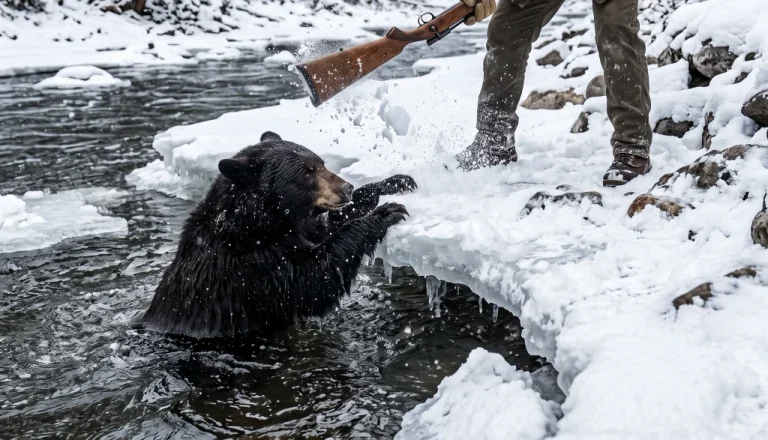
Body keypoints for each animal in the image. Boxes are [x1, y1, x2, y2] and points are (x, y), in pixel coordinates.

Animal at [141, 131, 416, 338]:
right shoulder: (254, 265)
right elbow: (312, 279)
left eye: (322, 163)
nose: (346, 188)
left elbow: (326, 226)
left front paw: (393, 182)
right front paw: (386, 212)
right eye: (306, 172)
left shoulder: (298, 227)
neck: (261, 223)